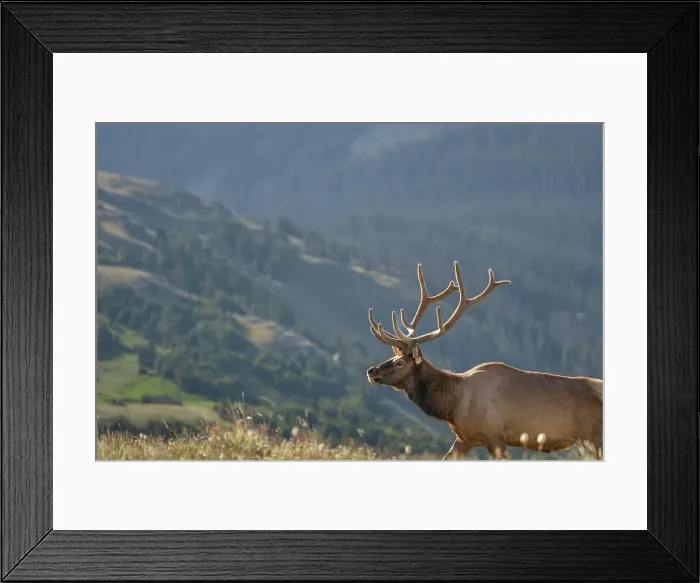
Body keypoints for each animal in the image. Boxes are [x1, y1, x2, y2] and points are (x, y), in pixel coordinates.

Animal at [366, 261, 603, 460]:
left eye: (399, 363)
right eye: (393, 356)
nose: (371, 371)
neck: (453, 405)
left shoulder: (495, 435)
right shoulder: (464, 439)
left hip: (594, 437)